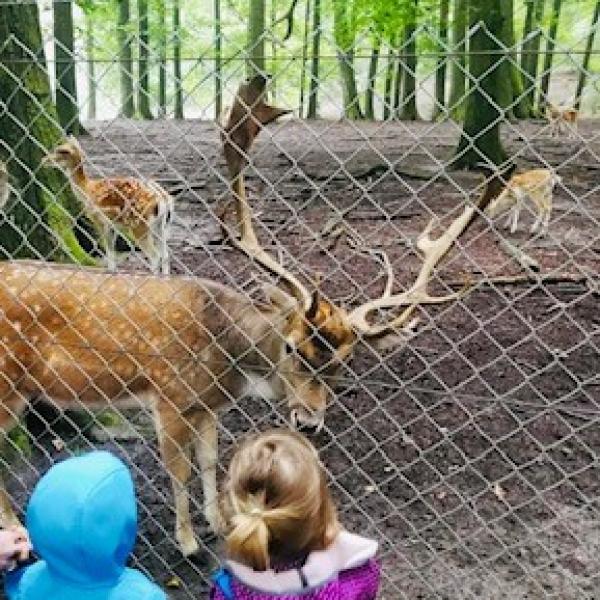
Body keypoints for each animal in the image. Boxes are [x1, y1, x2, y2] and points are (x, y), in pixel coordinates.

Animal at [41, 136, 173, 274]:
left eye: (61, 151)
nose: (43, 160)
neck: (87, 189)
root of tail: (164, 200)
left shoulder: (99, 219)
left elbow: (108, 249)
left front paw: (110, 270)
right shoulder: (112, 225)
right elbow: (111, 249)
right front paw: (113, 270)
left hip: (140, 225)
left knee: (155, 255)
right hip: (162, 226)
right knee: (165, 254)